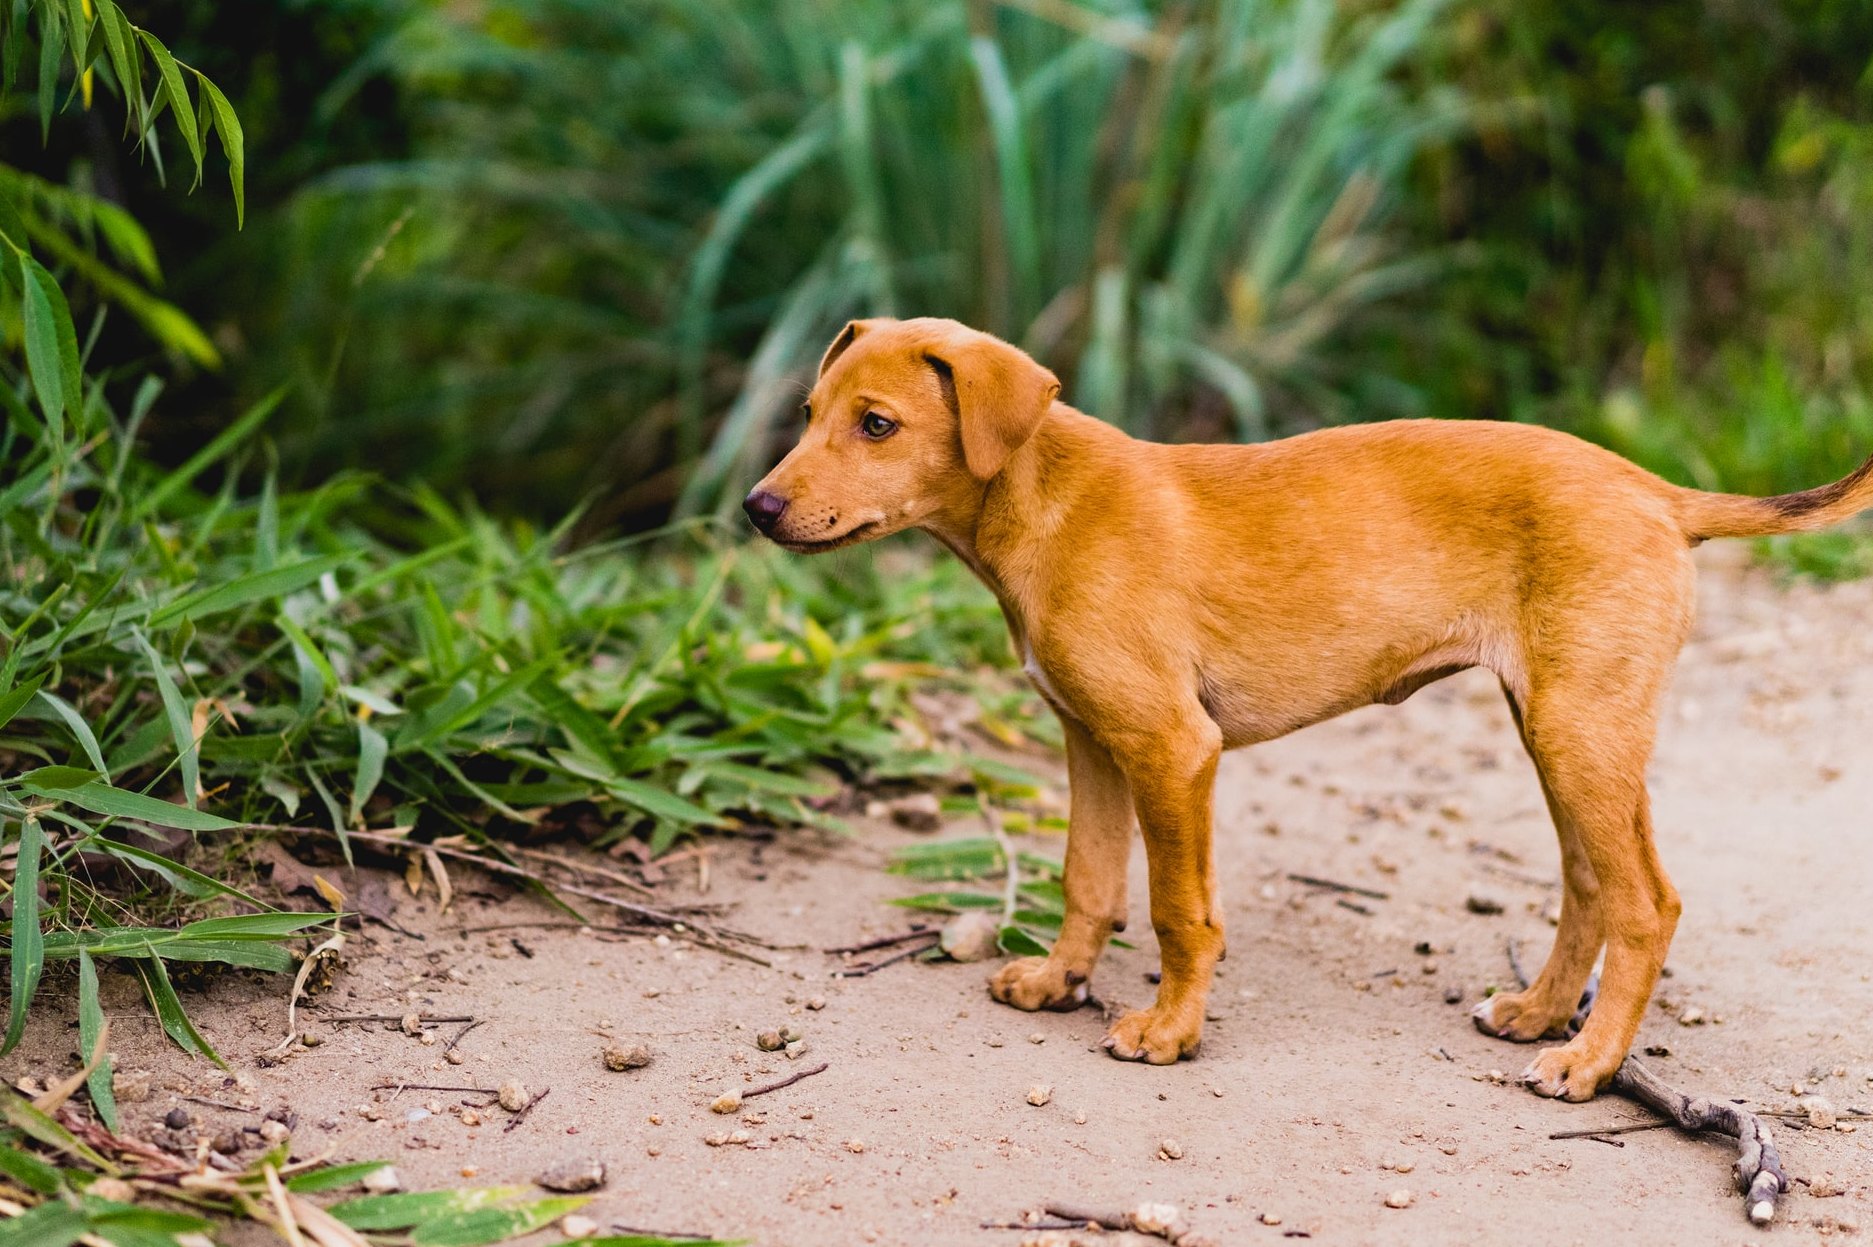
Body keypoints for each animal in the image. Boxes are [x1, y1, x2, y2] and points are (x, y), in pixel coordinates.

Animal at [745, 318, 1873, 1100]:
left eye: (877, 424)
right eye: (806, 416)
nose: (756, 508)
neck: (1040, 501)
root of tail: (1656, 489)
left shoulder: (1172, 747)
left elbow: (1177, 908)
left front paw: (1169, 1030)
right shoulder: (1092, 742)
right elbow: (1088, 881)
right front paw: (1059, 980)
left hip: (1578, 730)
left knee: (1646, 901)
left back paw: (1587, 1062)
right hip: (1562, 727)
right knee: (1591, 883)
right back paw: (1540, 1013)